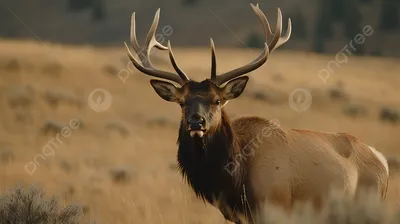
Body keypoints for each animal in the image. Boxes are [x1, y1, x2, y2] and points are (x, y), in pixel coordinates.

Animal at [124, 3, 388, 224]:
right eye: (182, 103)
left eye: (217, 100)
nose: (195, 121)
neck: (233, 179)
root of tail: (383, 162)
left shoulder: (275, 205)